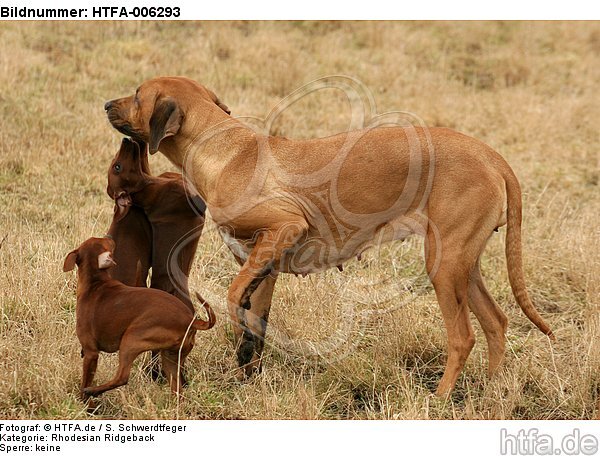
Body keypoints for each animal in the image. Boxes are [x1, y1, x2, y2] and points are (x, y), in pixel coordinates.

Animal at [63, 237, 217, 400]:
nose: (110, 238)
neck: (96, 283)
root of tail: (191, 320)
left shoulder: (91, 352)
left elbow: (85, 380)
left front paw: (84, 401)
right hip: (170, 359)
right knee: (178, 391)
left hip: (131, 339)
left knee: (122, 377)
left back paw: (93, 391)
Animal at [105, 75, 556, 396]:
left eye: (138, 94)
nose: (107, 104)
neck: (226, 150)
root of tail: (490, 155)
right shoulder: (263, 268)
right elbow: (255, 330)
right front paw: (247, 377)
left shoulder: (284, 228)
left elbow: (233, 298)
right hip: (464, 266)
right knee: (496, 324)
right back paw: (492, 394)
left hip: (444, 269)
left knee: (463, 338)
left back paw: (442, 398)